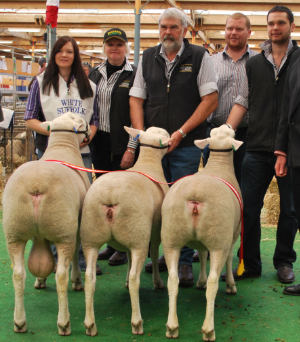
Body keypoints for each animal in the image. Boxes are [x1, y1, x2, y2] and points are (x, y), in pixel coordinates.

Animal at [2, 111, 91, 334]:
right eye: (82, 122)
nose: (89, 130)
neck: (62, 147)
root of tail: (36, 185)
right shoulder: (75, 226)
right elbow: (75, 254)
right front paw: (77, 280)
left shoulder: (39, 234)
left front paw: (40, 279)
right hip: (62, 229)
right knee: (60, 276)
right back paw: (64, 322)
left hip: (14, 232)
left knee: (18, 274)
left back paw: (19, 322)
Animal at [81, 126, 172, 336]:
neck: (148, 163)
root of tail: (110, 196)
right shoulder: (153, 233)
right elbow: (153, 253)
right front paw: (157, 282)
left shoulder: (128, 241)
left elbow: (129, 259)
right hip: (138, 236)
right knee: (136, 277)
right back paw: (137, 322)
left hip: (92, 237)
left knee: (89, 278)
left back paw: (90, 324)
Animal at [162, 124, 244, 340]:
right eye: (230, 133)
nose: (229, 124)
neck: (218, 164)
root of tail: (195, 196)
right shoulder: (232, 234)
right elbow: (229, 259)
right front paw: (231, 285)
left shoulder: (202, 241)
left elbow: (202, 255)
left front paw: (200, 282)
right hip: (218, 238)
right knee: (215, 281)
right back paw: (209, 329)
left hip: (171, 238)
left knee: (172, 280)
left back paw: (172, 326)